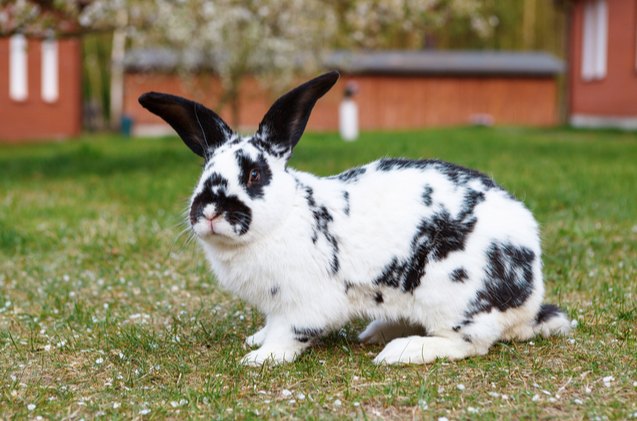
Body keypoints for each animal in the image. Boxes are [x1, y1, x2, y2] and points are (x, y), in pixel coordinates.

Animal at [137, 71, 568, 364]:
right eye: (204, 173)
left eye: (254, 175)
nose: (209, 211)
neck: (285, 218)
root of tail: (530, 296)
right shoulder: (276, 305)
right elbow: (272, 324)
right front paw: (256, 341)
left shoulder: (305, 303)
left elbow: (290, 333)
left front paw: (261, 357)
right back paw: (375, 332)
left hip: (452, 296)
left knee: (468, 343)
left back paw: (400, 350)